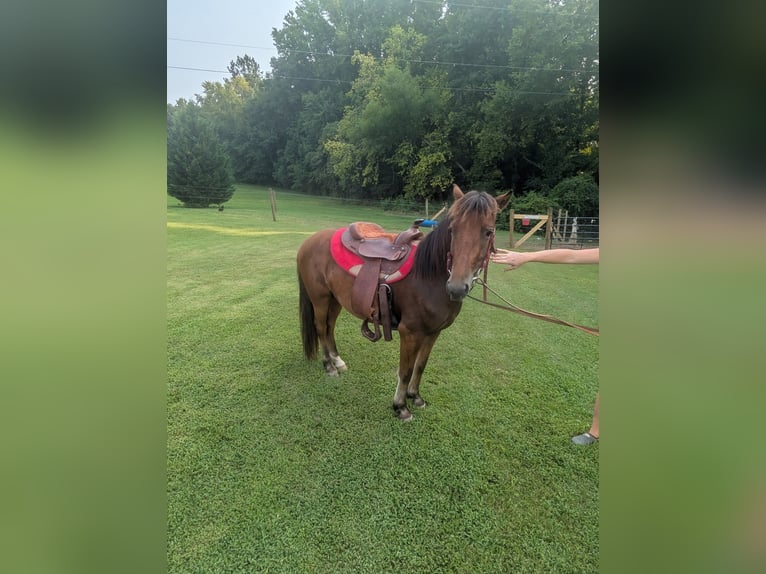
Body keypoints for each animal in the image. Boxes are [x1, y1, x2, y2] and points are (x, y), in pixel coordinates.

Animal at [297, 185, 510, 421]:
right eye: (452, 230)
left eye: (488, 231)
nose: (456, 287)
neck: (428, 276)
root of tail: (309, 241)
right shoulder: (410, 333)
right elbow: (405, 370)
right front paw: (400, 406)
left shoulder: (433, 333)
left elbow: (420, 366)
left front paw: (415, 397)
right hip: (320, 298)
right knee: (320, 327)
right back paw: (329, 367)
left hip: (336, 300)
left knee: (329, 327)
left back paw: (337, 361)